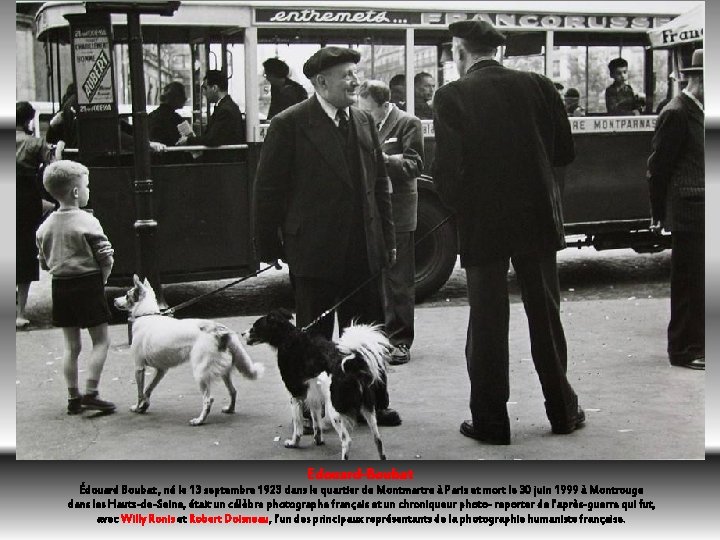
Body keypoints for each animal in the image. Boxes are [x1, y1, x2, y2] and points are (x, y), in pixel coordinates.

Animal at [114, 276, 264, 424]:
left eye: (127, 295)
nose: (114, 300)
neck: (146, 314)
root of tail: (220, 329)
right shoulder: (161, 370)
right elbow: (148, 389)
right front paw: (144, 405)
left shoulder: (139, 367)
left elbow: (140, 393)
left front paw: (137, 407)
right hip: (223, 372)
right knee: (233, 391)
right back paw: (229, 409)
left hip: (200, 373)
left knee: (208, 400)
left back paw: (199, 420)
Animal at [245, 310, 390, 458]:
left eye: (255, 327)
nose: (242, 334)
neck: (288, 337)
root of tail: (352, 366)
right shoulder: (313, 395)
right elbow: (316, 422)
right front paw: (318, 440)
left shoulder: (295, 395)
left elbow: (298, 427)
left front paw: (293, 443)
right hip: (369, 410)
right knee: (378, 440)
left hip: (335, 411)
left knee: (347, 441)